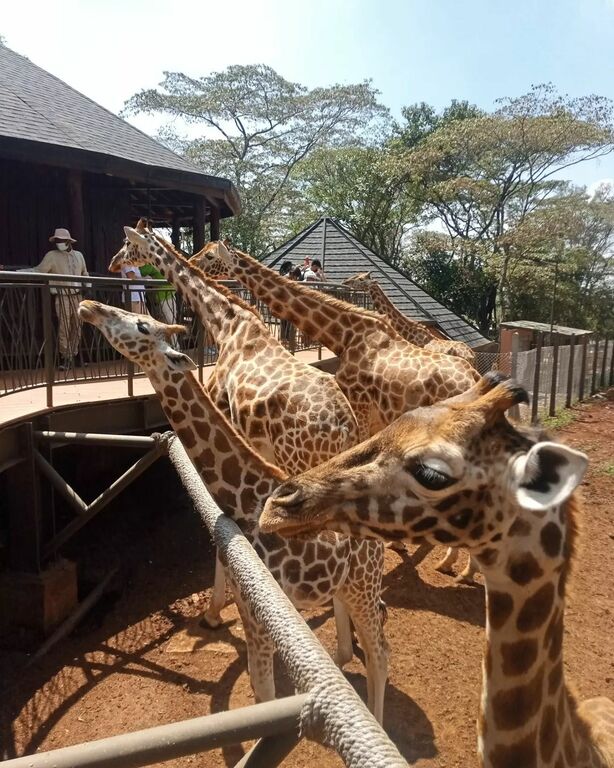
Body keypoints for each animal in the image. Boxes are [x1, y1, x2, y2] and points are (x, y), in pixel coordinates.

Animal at [78, 300, 389, 723]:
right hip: (346, 584)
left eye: (142, 325)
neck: (245, 497)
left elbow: (266, 693)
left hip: (363, 585)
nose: (89, 306)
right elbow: (260, 691)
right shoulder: (248, 607)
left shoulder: (263, 618)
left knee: (380, 654)